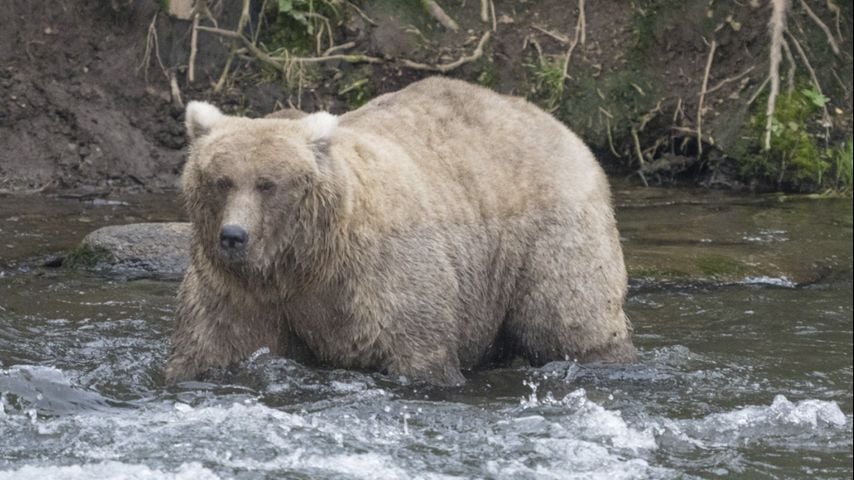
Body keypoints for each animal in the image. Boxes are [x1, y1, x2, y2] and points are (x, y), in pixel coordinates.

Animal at [167, 78, 636, 386]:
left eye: (268, 184)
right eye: (221, 180)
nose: (233, 236)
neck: (302, 262)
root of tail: (558, 124)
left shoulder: (380, 275)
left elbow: (417, 346)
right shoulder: (239, 291)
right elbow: (213, 344)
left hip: (549, 233)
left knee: (569, 317)